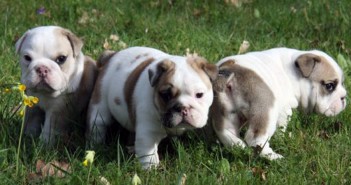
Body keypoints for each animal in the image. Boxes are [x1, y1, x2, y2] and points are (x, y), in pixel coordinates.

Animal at [87, 46, 217, 169]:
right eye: (166, 95)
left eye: (199, 95)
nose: (183, 108)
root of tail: (111, 56)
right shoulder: (147, 133)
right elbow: (148, 154)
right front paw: (150, 170)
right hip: (100, 104)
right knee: (98, 124)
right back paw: (97, 146)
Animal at [210, 48, 348, 160]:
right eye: (329, 86)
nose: (344, 97)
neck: (295, 73)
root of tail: (230, 75)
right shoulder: (284, 110)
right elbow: (282, 127)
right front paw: (283, 137)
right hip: (266, 110)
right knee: (255, 139)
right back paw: (274, 157)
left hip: (224, 113)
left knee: (226, 132)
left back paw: (239, 148)